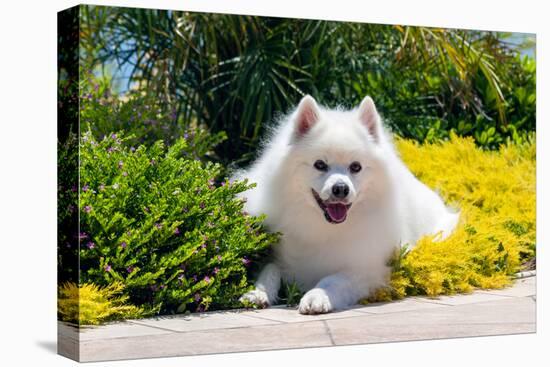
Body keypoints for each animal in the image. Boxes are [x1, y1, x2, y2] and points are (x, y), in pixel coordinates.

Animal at [237, 96, 462, 314]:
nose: (340, 188)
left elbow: (333, 279)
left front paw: (317, 296)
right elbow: (269, 270)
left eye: (356, 167)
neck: (324, 228)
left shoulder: (367, 269)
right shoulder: (280, 256)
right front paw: (257, 293)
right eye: (320, 164)